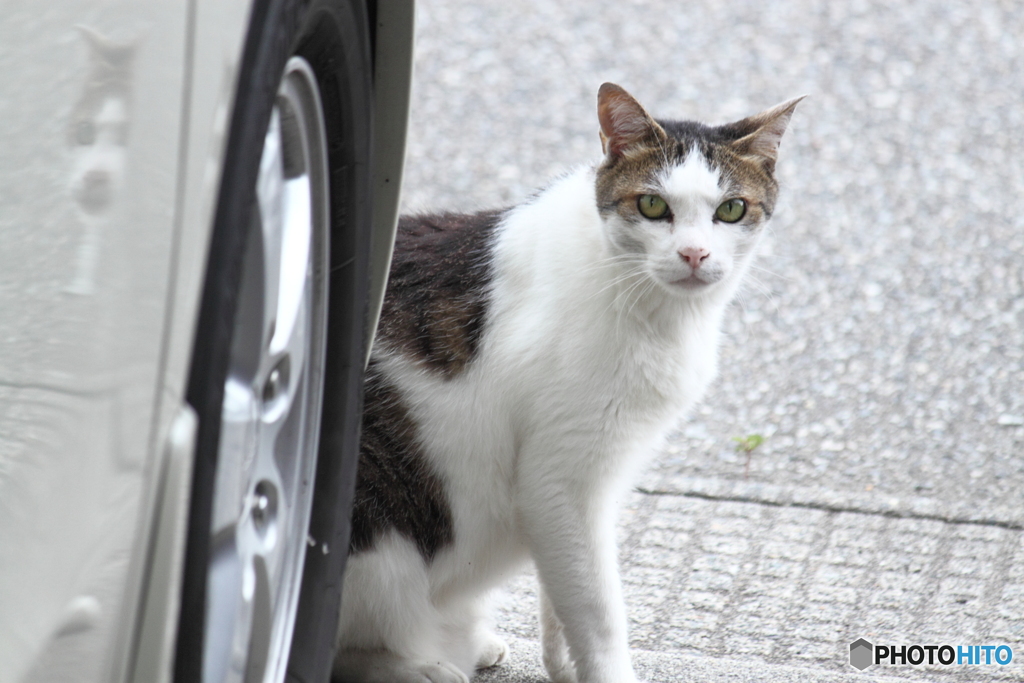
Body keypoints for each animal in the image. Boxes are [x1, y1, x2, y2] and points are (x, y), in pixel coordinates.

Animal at [331, 82, 802, 679]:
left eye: (731, 209)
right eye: (653, 205)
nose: (695, 253)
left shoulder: (586, 487)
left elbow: (563, 591)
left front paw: (562, 664)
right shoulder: (561, 480)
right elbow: (598, 608)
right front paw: (606, 672)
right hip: (381, 537)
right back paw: (417, 665)